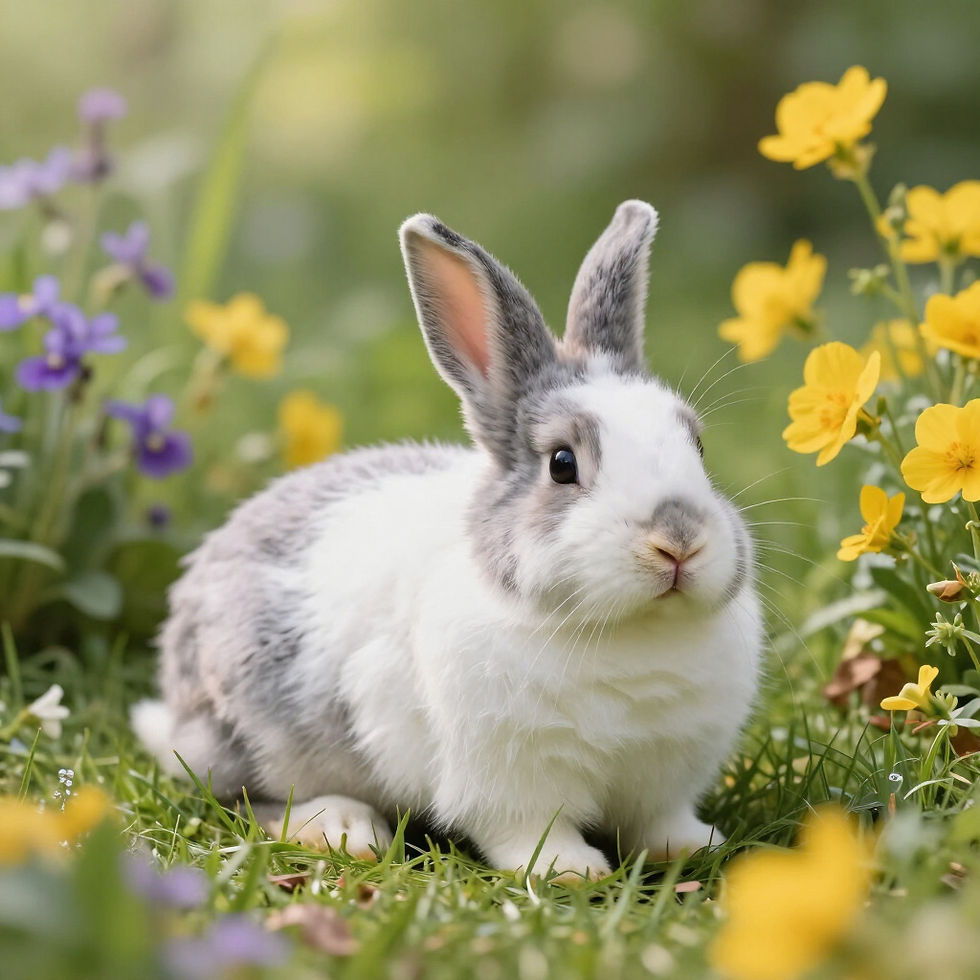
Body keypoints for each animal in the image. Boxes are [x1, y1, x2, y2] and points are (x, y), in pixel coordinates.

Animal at [132, 200, 762, 879]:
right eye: (562, 464)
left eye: (696, 445)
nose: (678, 540)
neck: (627, 632)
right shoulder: (509, 779)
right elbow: (528, 829)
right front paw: (570, 871)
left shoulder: (663, 777)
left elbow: (659, 820)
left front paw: (696, 847)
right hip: (256, 731)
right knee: (247, 796)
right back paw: (344, 828)